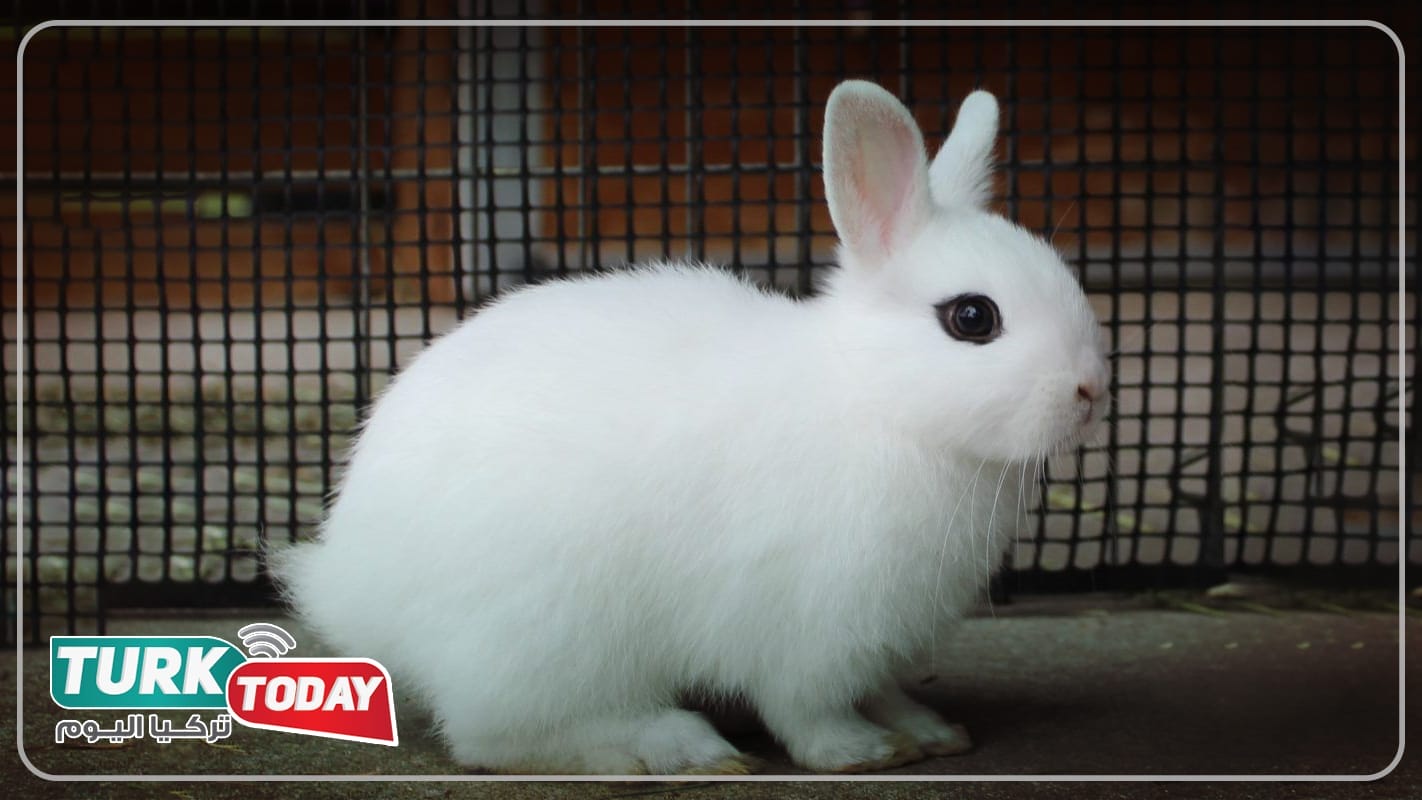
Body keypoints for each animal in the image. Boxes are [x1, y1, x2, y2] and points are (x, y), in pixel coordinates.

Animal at [271, 79, 1110, 775]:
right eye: (972, 318)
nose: (1091, 389)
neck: (877, 403)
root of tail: (355, 587)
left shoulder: (878, 640)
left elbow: (882, 690)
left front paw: (928, 731)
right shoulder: (809, 628)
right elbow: (809, 710)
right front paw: (862, 752)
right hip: (544, 636)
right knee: (495, 736)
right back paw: (673, 745)